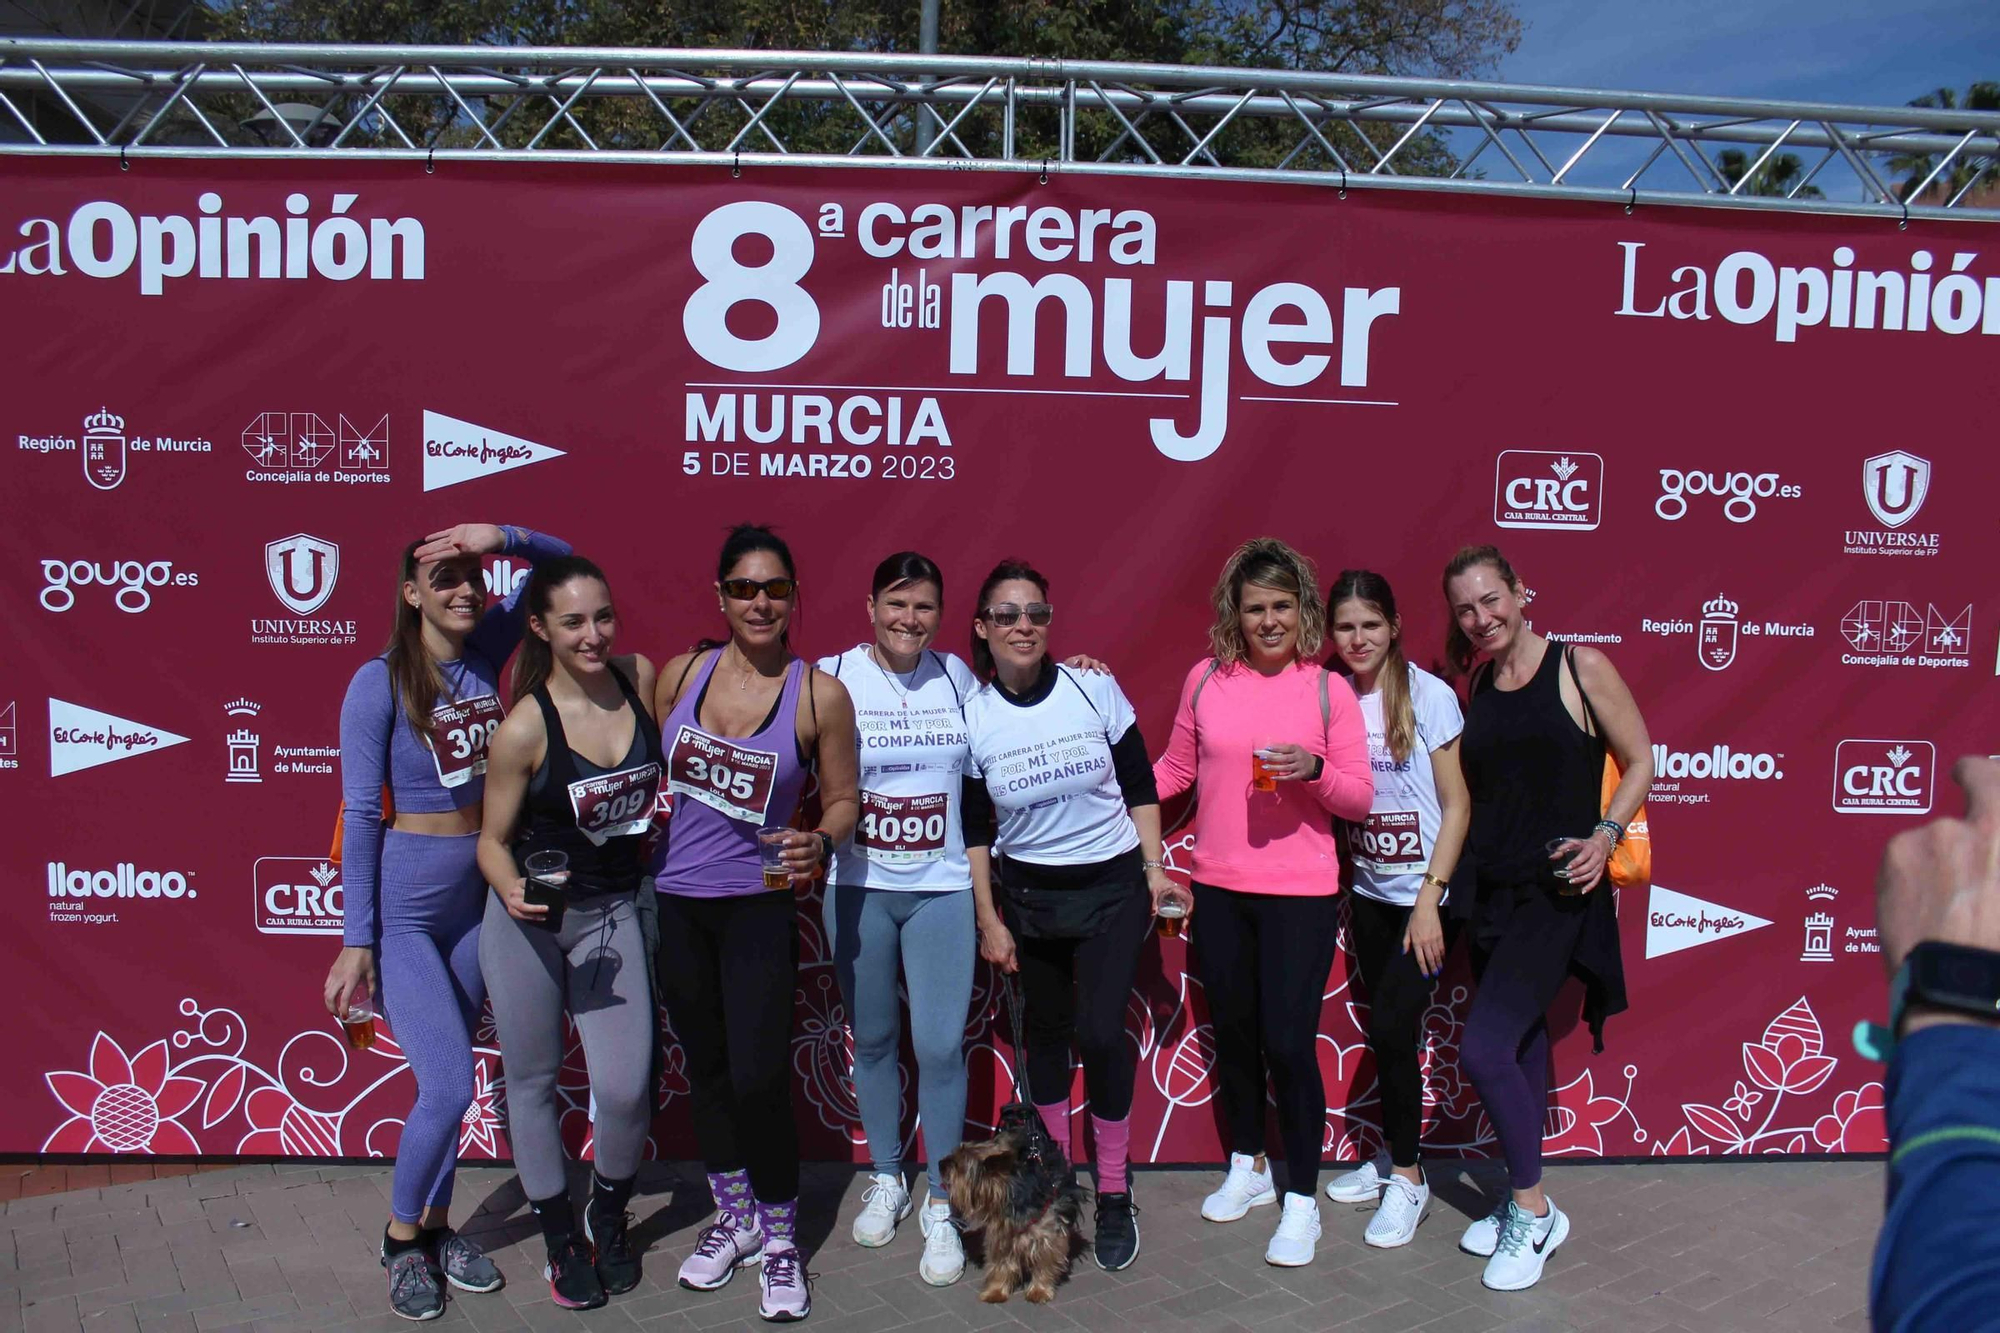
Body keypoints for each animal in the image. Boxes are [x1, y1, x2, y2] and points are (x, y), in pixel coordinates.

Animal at [932, 1120, 1080, 1296]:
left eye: (956, 1165)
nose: (939, 1163)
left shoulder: (1047, 1234)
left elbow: (1044, 1263)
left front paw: (1039, 1291)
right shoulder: (1001, 1235)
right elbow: (1000, 1265)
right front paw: (995, 1292)